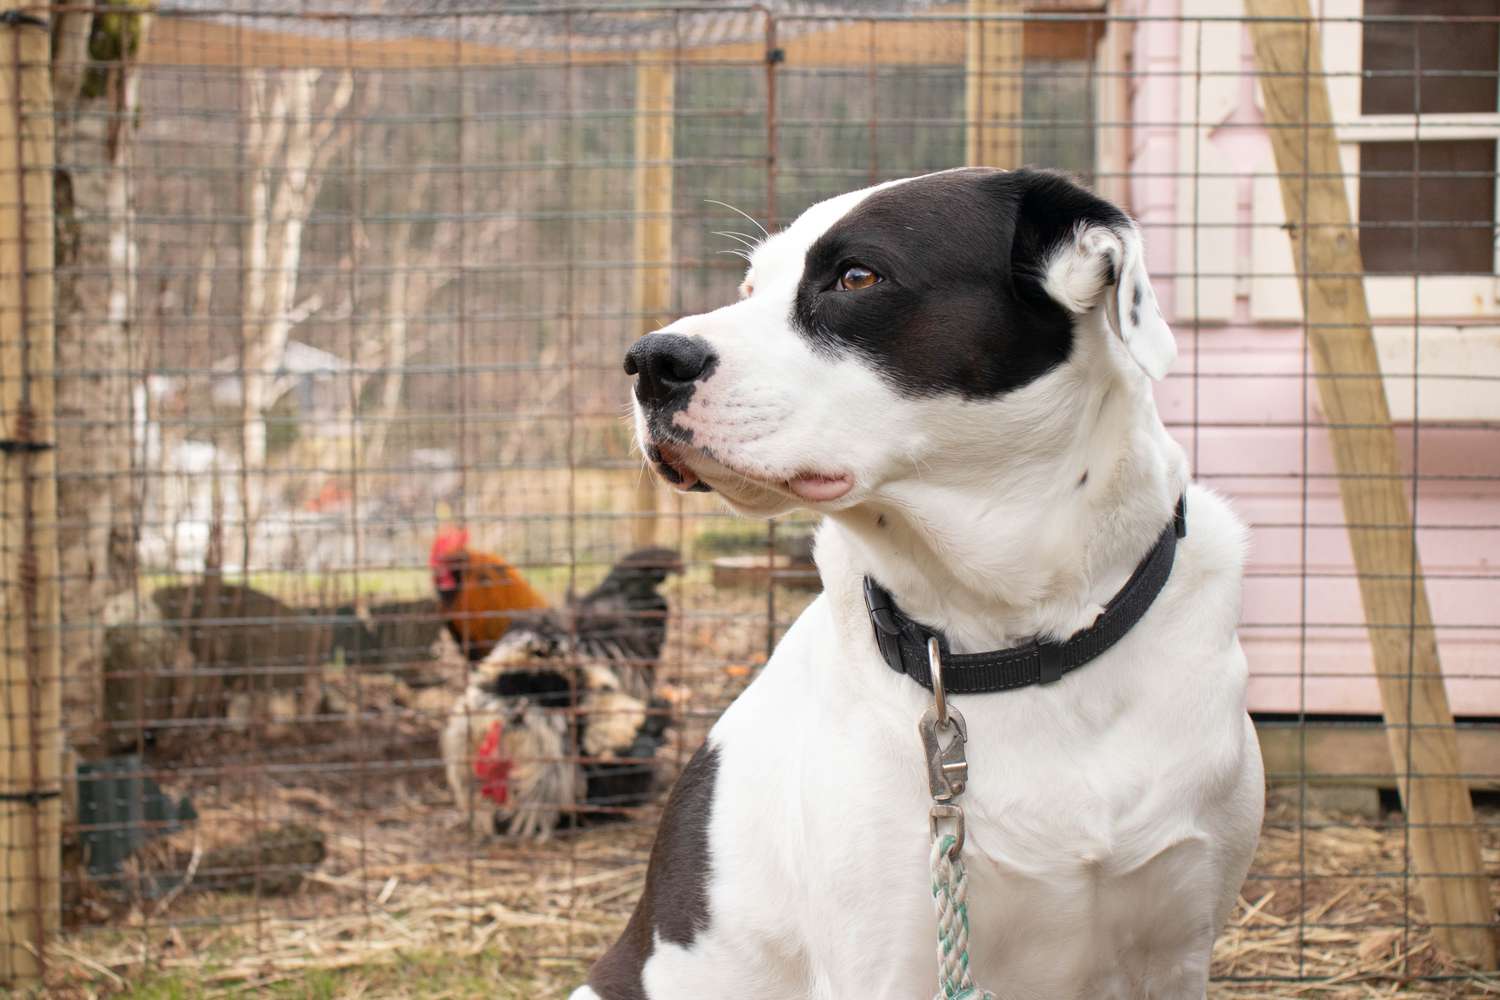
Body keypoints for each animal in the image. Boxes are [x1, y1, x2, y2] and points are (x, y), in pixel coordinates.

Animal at [579, 167, 1260, 995]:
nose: (649, 361)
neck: (1011, 640)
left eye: (857, 277)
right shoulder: (890, 958)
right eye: (750, 286)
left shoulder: (1175, 951)